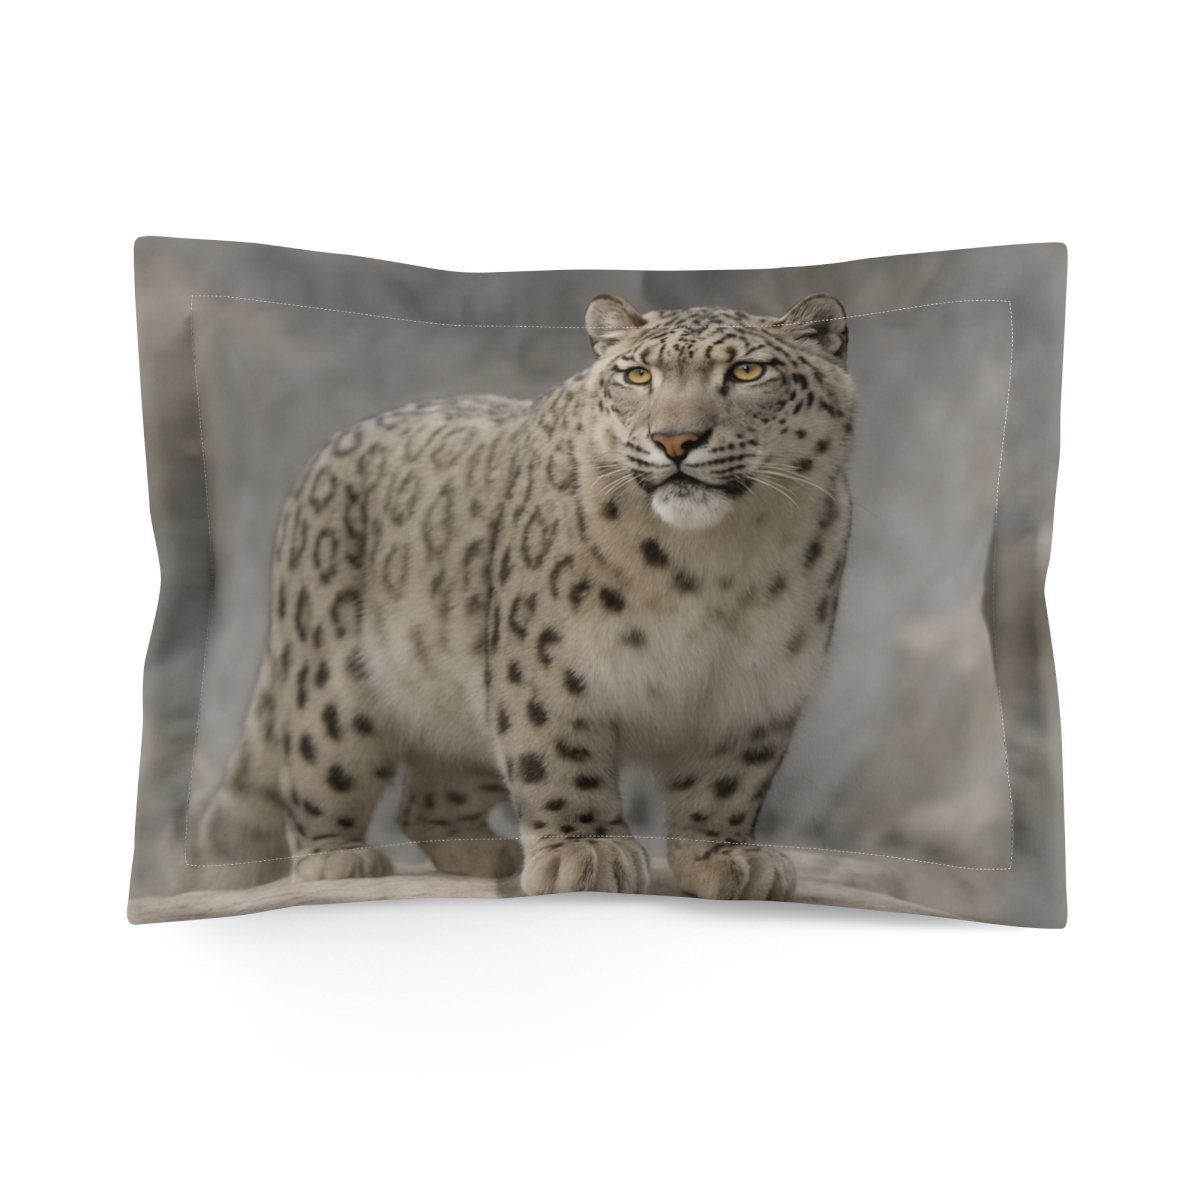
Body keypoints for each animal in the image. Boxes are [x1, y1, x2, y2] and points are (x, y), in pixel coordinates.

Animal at [190, 291, 855, 901]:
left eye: (747, 372)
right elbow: (558, 756)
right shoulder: (551, 660)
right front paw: (587, 854)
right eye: (637, 375)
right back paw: (339, 860)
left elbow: (727, 783)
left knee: (427, 799)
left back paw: (484, 854)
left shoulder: (757, 684)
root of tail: (324, 455)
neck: (712, 567)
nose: (675, 440)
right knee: (317, 768)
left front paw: (727, 859)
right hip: (331, 687)